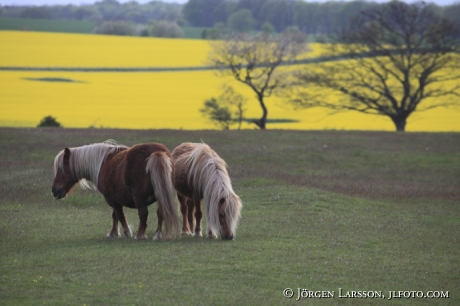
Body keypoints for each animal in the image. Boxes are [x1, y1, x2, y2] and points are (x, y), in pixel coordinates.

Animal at [50, 140, 180, 240]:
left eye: (61, 169)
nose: (54, 190)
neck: (102, 162)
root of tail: (156, 152)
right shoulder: (115, 197)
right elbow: (115, 215)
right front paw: (114, 233)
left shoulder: (110, 198)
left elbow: (119, 214)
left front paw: (126, 233)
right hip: (160, 194)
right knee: (161, 212)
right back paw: (157, 235)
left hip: (139, 197)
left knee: (143, 213)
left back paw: (140, 235)